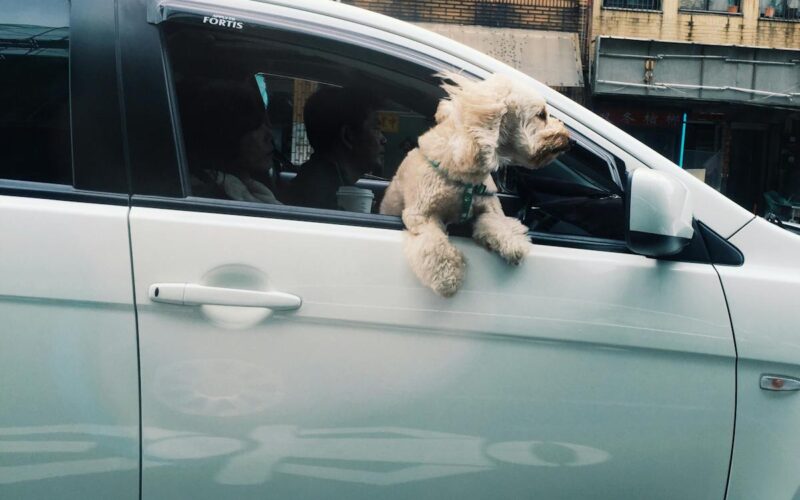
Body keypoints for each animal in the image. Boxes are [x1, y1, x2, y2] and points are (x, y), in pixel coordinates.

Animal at [380, 71, 568, 296]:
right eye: (541, 115)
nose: (569, 139)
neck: (464, 177)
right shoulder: (421, 216)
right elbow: (436, 246)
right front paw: (448, 277)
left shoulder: (488, 207)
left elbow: (498, 223)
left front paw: (512, 243)